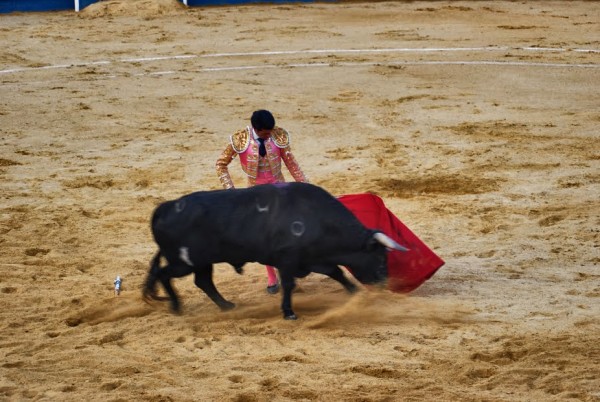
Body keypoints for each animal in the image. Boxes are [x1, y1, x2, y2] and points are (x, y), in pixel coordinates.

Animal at [144, 183, 408, 320]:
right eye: (380, 256)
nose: (385, 284)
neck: (317, 218)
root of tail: (164, 208)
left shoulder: (312, 258)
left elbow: (337, 272)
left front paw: (353, 292)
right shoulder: (287, 259)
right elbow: (289, 285)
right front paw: (289, 312)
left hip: (201, 262)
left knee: (203, 281)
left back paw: (226, 306)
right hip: (184, 262)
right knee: (164, 274)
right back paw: (177, 307)